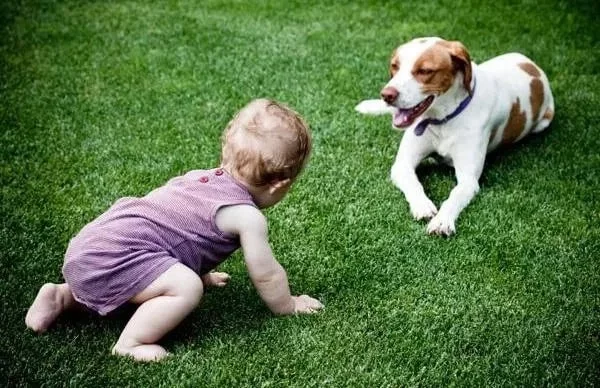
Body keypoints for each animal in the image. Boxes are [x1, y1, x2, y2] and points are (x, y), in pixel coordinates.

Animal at [354, 38, 556, 235]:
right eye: (395, 66)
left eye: (425, 71)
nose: (387, 95)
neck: (443, 119)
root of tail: (533, 67)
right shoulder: (402, 165)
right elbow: (413, 183)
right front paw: (422, 205)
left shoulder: (468, 180)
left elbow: (454, 197)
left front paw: (442, 221)